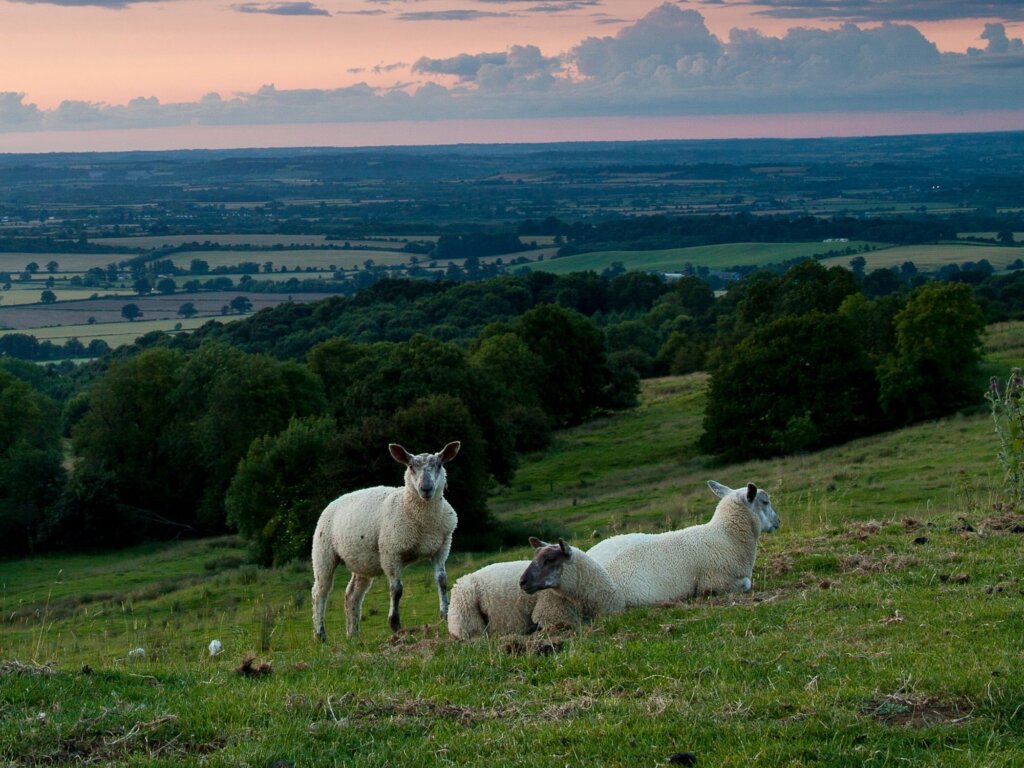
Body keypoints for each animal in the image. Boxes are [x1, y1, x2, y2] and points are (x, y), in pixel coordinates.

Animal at [307, 442, 460, 638]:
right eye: (410, 466)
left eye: (439, 465)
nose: (426, 488)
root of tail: (335, 501)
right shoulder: (391, 552)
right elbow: (397, 590)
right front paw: (395, 624)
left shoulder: (441, 548)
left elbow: (442, 581)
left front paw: (445, 615)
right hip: (323, 551)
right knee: (320, 592)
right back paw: (320, 634)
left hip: (363, 561)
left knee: (352, 595)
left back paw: (353, 635)